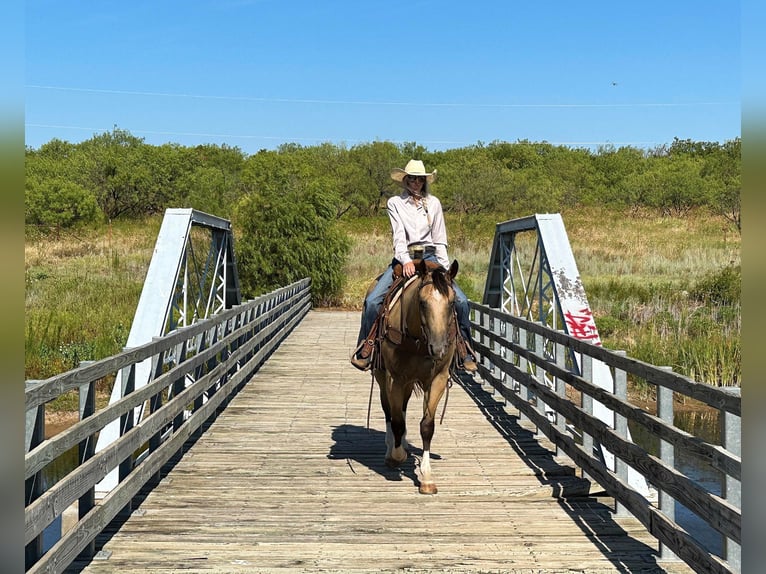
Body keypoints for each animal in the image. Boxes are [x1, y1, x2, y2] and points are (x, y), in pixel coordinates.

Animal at [374, 258, 460, 498]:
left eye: (452, 303)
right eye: (422, 303)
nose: (438, 348)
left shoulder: (438, 379)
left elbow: (426, 426)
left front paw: (427, 478)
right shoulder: (394, 378)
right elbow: (396, 421)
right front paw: (397, 456)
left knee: (401, 409)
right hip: (383, 378)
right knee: (389, 412)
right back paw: (391, 449)